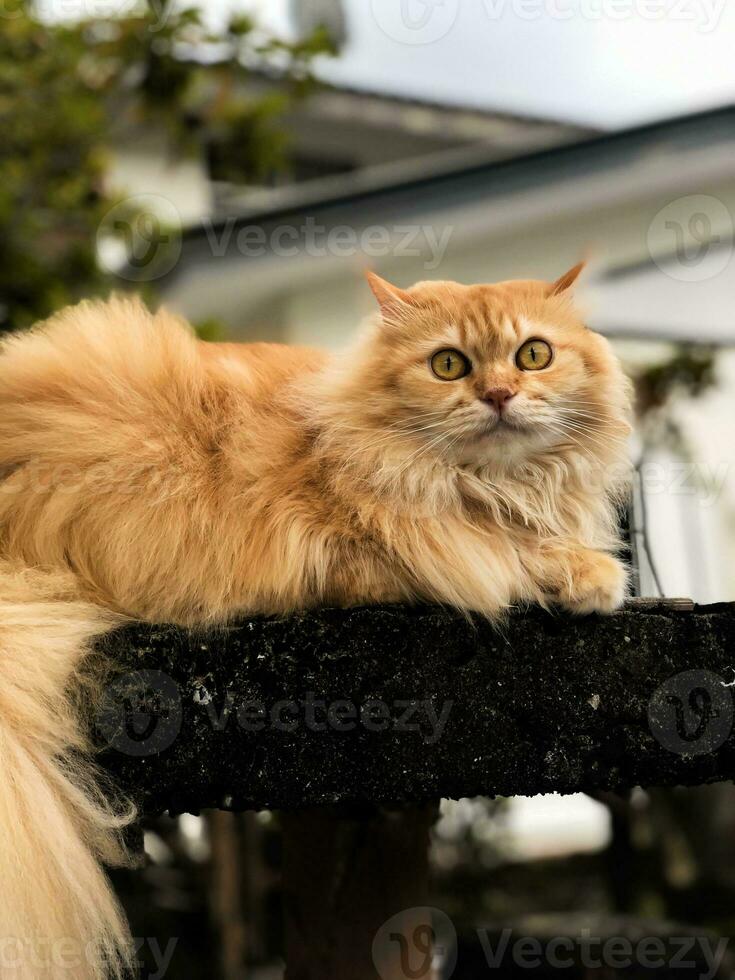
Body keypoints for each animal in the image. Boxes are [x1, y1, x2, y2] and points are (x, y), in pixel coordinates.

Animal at [0, 264, 632, 976]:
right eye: (448, 365)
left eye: (533, 355)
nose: (498, 394)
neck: (500, 486)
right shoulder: (373, 554)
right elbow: (500, 555)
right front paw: (591, 575)